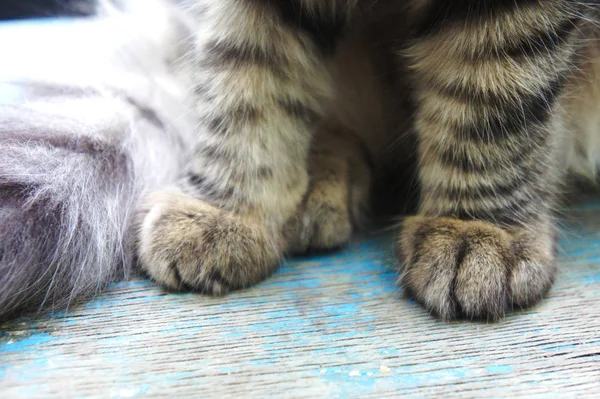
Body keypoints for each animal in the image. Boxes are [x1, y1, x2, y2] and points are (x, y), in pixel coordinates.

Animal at [1, 0, 600, 322]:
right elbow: (246, 80)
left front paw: (477, 228)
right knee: (330, 123)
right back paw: (316, 190)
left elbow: (489, 99)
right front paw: (229, 209)